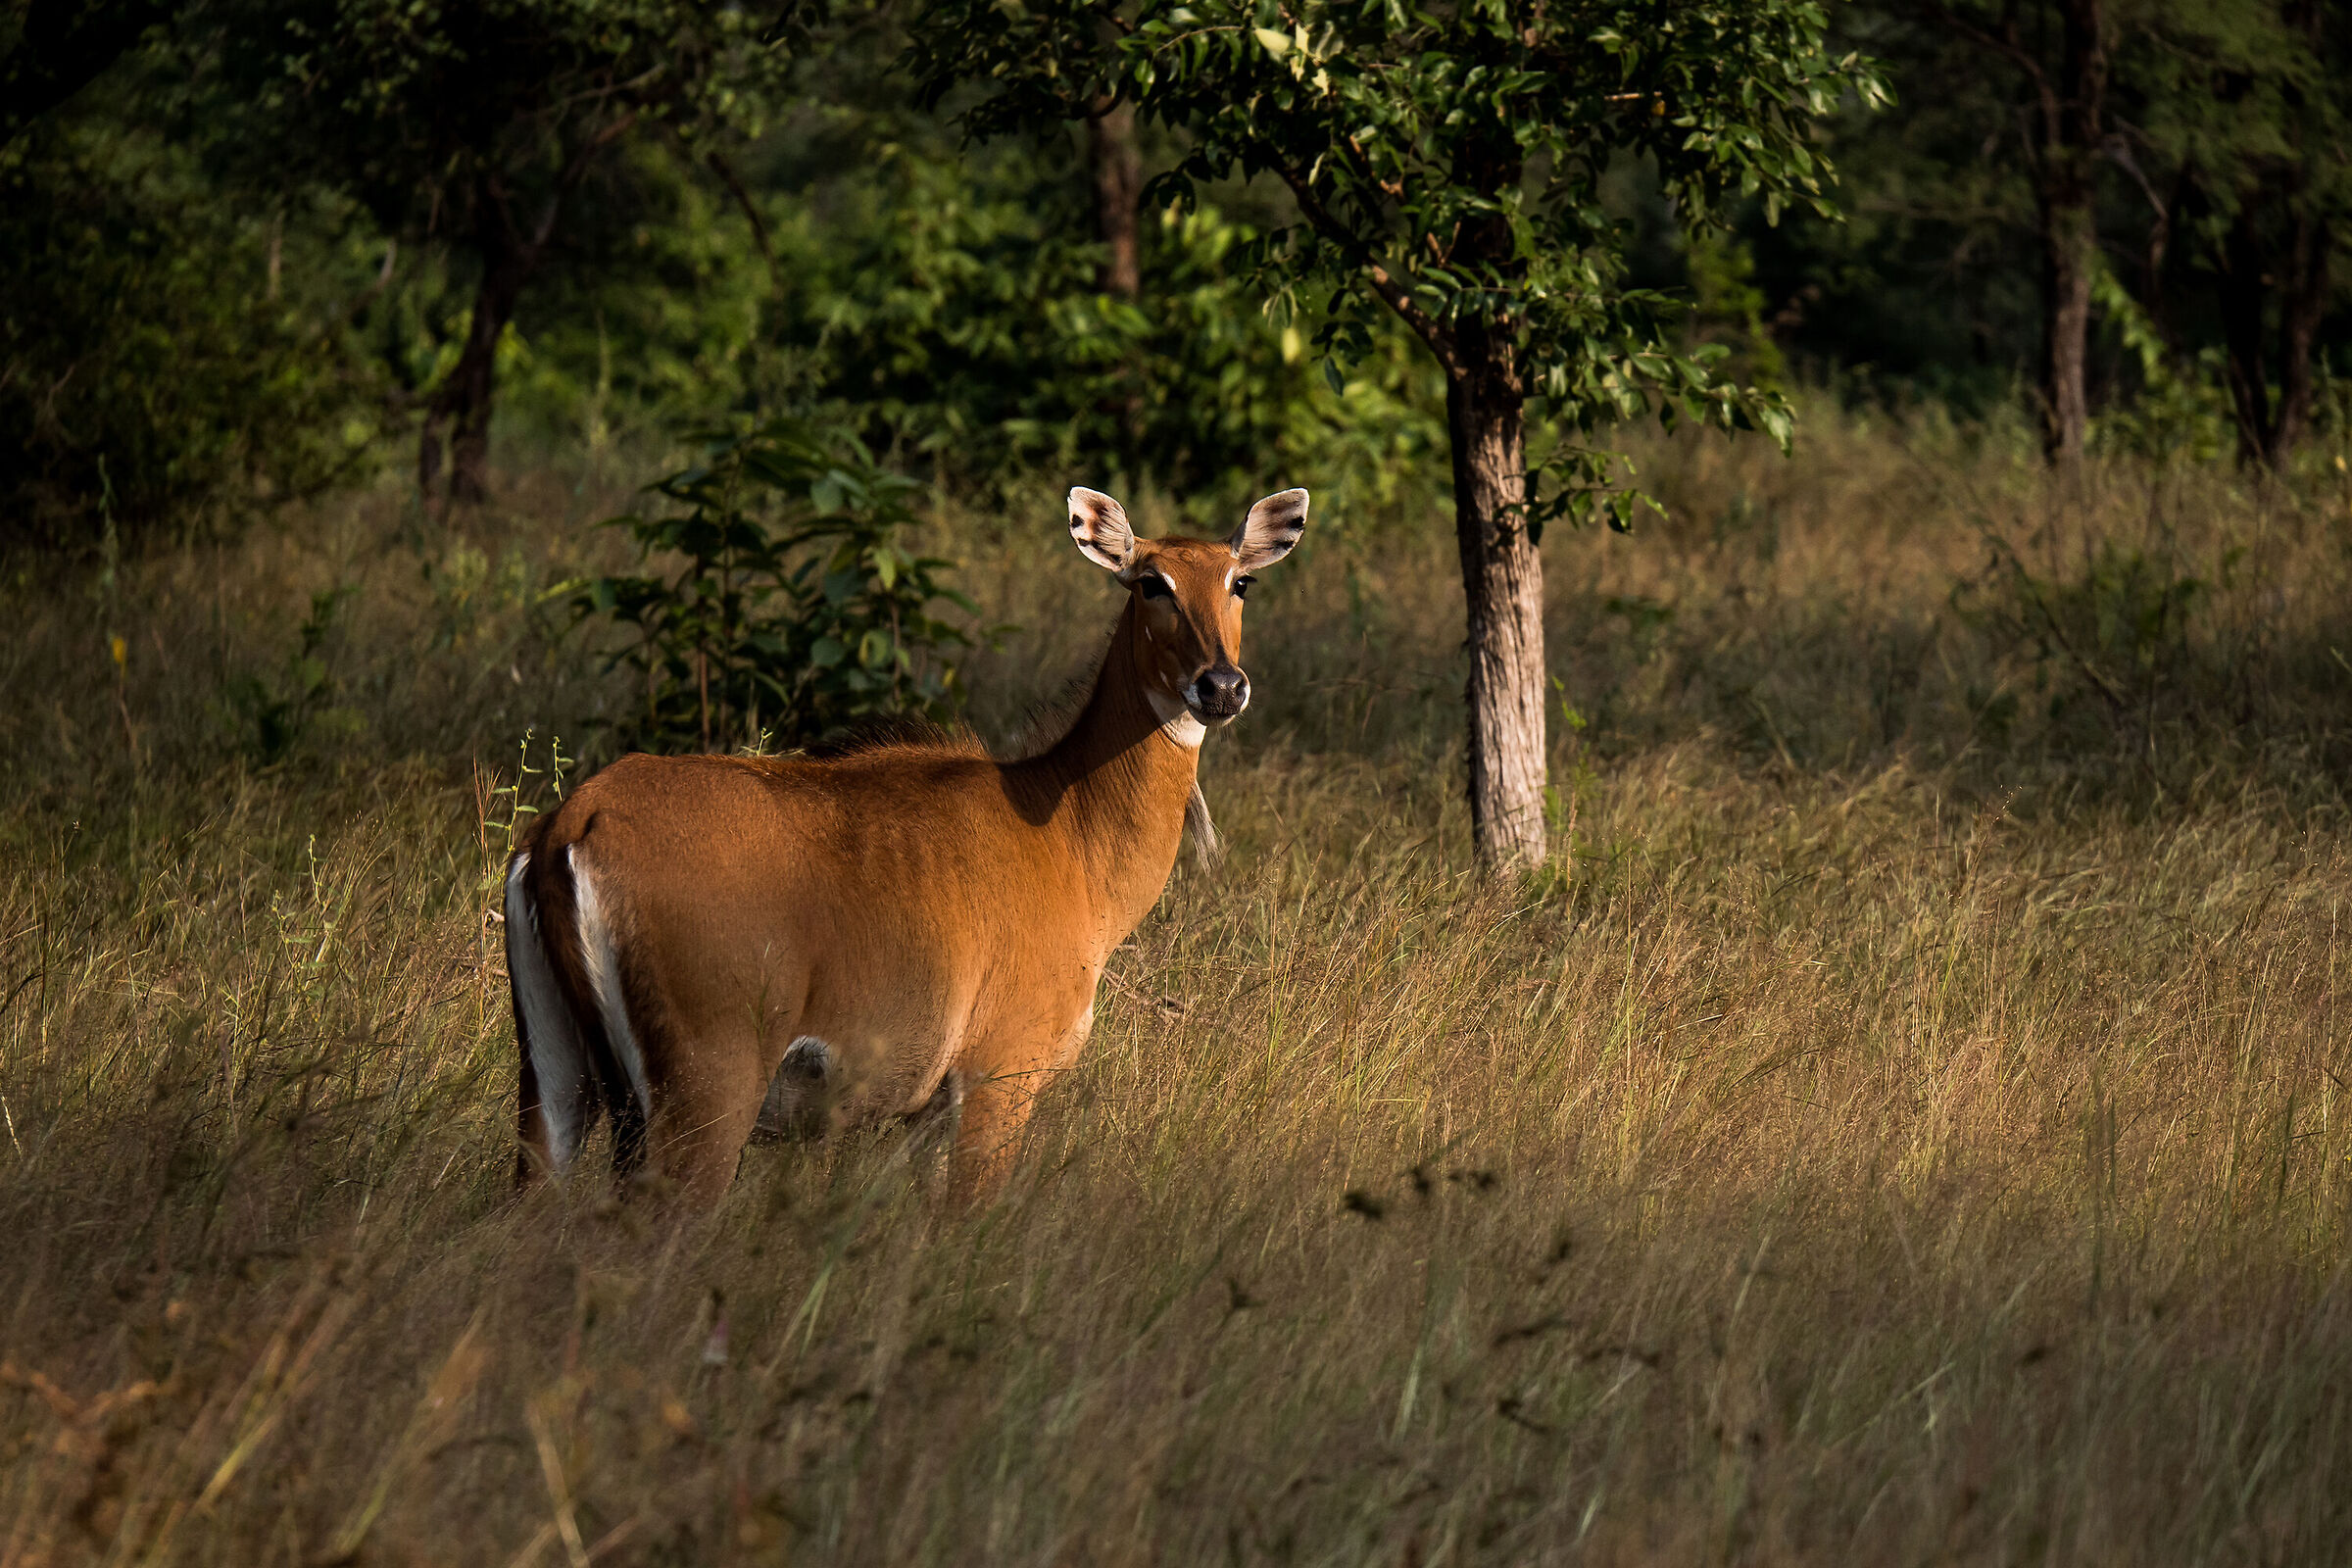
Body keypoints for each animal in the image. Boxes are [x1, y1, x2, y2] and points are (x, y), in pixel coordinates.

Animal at [503, 485, 1308, 1204]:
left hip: (554, 1078)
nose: (1221, 686)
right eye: (1150, 583)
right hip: (707, 1085)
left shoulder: (925, 1114)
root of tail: (571, 825)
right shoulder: (1000, 1073)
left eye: (1240, 581)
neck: (1069, 837)